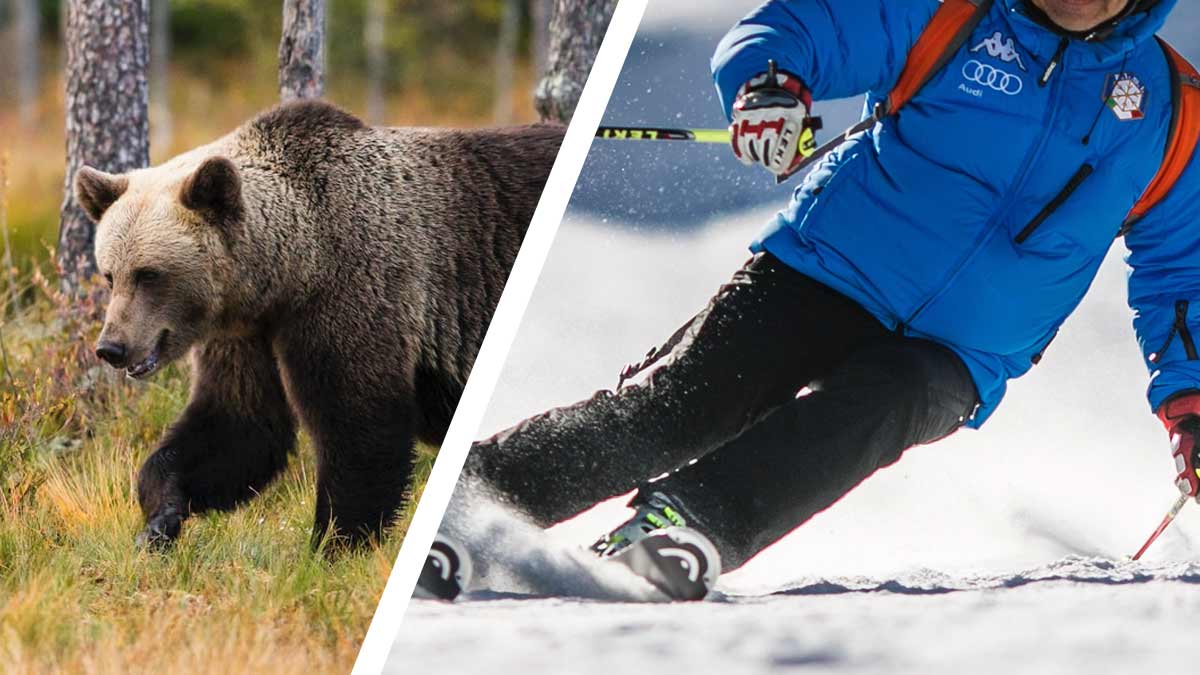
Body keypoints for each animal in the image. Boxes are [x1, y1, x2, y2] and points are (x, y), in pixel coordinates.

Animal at [77, 99, 564, 547]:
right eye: (110, 274)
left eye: (150, 274)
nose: (112, 347)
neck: (292, 268)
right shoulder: (247, 333)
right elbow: (239, 425)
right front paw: (161, 518)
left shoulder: (352, 293)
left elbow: (359, 426)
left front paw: (334, 543)